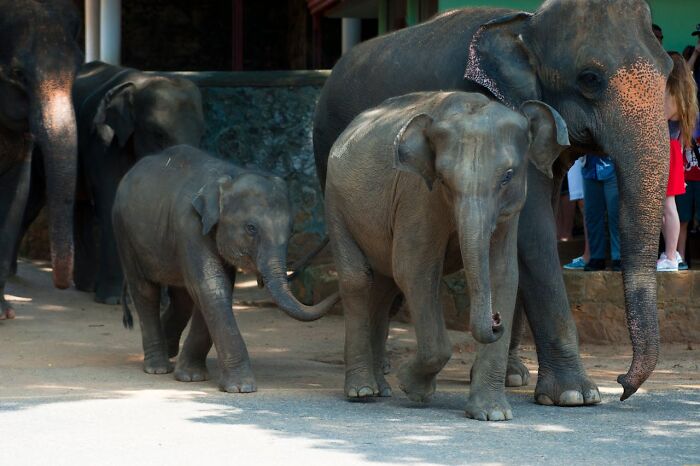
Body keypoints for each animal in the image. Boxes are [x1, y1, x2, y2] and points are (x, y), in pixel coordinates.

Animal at [13, 61, 206, 305]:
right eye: (158, 134)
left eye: (201, 136)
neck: (141, 83)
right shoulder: (103, 140)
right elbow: (111, 201)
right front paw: (112, 299)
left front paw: (159, 301)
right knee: (33, 201)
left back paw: (86, 286)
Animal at [113, 145, 339, 392]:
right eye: (251, 228)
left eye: (291, 231)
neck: (230, 176)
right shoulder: (189, 226)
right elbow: (211, 287)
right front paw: (241, 388)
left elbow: (215, 289)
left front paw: (192, 376)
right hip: (124, 232)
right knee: (145, 291)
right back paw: (158, 367)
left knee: (182, 298)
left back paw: (170, 351)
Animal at [325, 91, 568, 420]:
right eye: (443, 178)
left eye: (507, 176)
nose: (496, 320)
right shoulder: (417, 195)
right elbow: (414, 268)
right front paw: (412, 386)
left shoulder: (511, 211)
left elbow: (504, 273)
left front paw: (492, 414)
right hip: (336, 204)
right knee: (359, 280)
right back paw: (362, 391)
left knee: (383, 287)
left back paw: (381, 389)